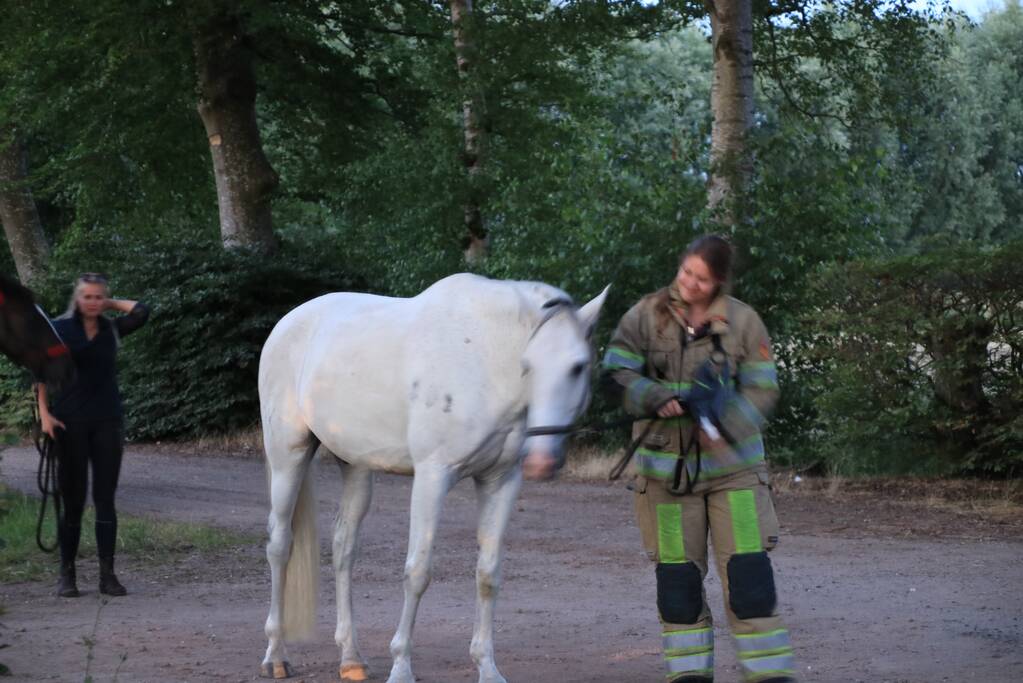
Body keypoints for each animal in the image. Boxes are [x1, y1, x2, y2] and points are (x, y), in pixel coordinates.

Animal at [258, 273, 609, 683]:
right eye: (527, 365)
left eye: (578, 366)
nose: (542, 462)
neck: (484, 357)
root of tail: (287, 323)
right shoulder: (432, 476)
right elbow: (418, 572)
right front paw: (401, 668)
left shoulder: (500, 480)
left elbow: (488, 574)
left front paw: (488, 668)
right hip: (288, 455)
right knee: (280, 544)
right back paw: (276, 656)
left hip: (356, 466)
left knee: (344, 548)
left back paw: (352, 658)